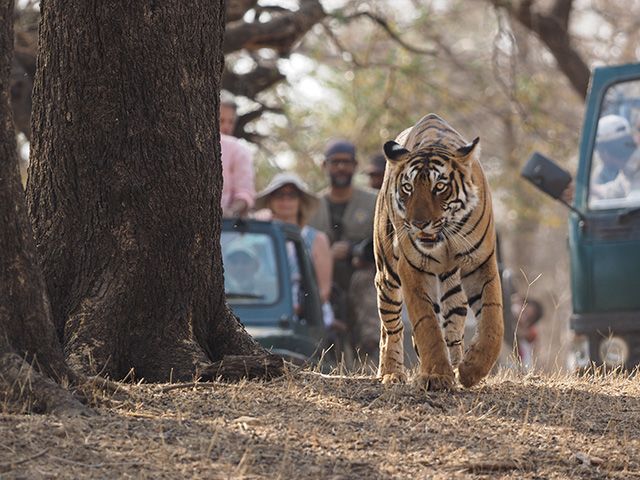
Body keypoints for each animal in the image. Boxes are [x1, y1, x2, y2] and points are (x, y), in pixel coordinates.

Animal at [376, 113, 504, 390]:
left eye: (440, 187)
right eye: (408, 188)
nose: (418, 223)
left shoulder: (480, 262)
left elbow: (492, 320)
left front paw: (471, 370)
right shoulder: (411, 268)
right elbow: (427, 325)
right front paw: (435, 375)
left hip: (454, 286)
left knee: (453, 329)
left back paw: (456, 365)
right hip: (387, 275)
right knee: (391, 328)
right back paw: (391, 373)